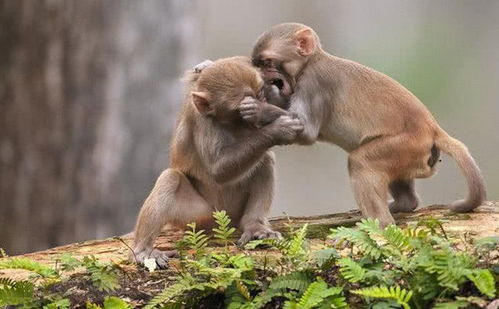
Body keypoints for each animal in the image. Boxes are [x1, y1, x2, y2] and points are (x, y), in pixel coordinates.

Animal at [132, 56, 304, 268]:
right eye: (239, 110)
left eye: (259, 94)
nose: (257, 111)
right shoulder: (203, 122)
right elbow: (218, 171)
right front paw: (278, 130)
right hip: (200, 218)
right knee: (170, 178)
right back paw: (144, 250)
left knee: (264, 159)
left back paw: (255, 226)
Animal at [250, 22, 488, 226]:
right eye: (257, 64)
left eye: (267, 62)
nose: (260, 76)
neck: (311, 62)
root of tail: (432, 128)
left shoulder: (314, 83)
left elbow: (305, 131)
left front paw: (261, 105)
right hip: (412, 154)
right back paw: (403, 204)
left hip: (405, 145)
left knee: (361, 161)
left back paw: (380, 224)